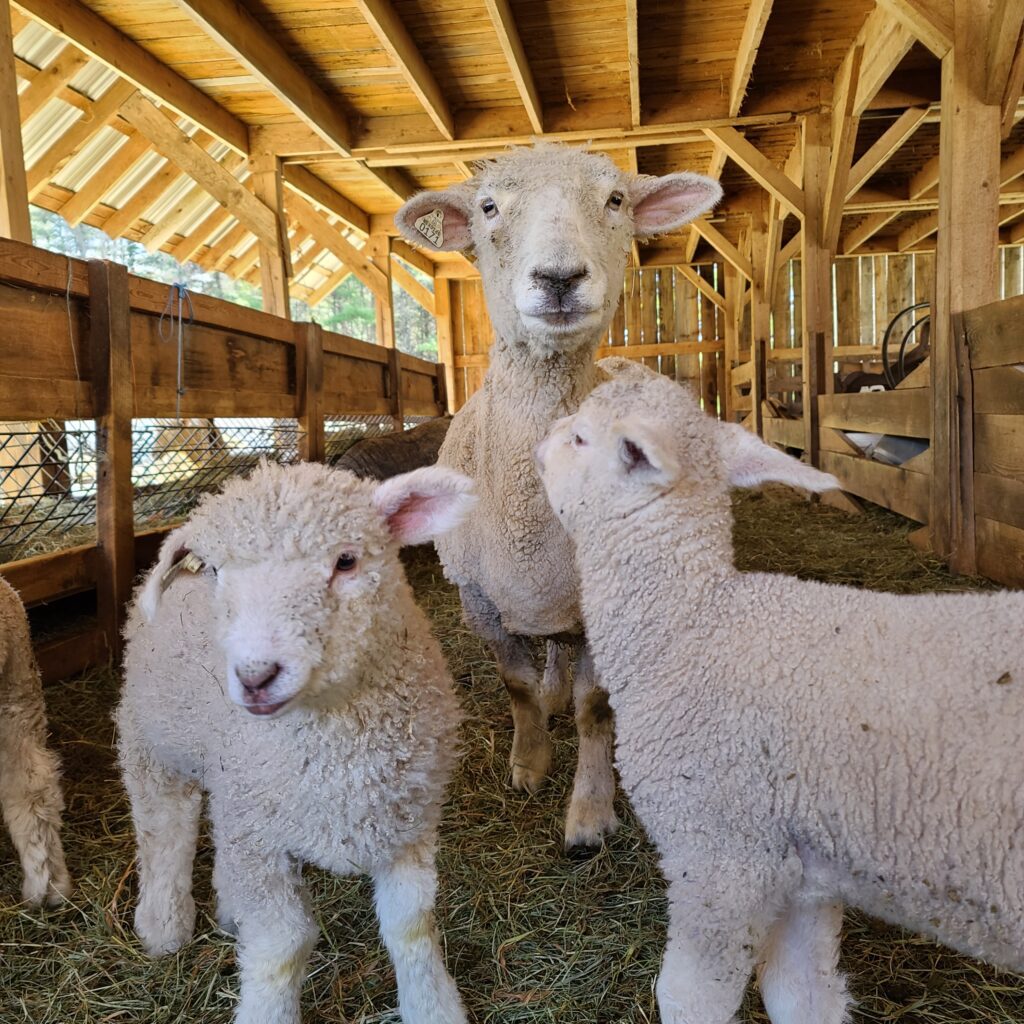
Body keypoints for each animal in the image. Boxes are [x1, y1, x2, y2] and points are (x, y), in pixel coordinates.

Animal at [116, 462, 475, 1024]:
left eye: (346, 560)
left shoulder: (406, 824)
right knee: (164, 828)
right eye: (218, 572)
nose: (255, 676)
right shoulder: (258, 841)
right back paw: (163, 926)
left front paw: (432, 1006)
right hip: (151, 743)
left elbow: (411, 926)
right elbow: (282, 945)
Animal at [395, 142, 724, 847]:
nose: (559, 278)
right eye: (488, 206)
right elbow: (517, 685)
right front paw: (529, 763)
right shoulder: (478, 599)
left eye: (617, 199)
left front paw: (591, 813)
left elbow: (593, 706)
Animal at [532, 370, 1024, 1024]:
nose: (539, 443)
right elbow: (800, 992)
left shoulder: (720, 857)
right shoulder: (801, 869)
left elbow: (688, 995)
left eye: (582, 438)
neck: (691, 625)